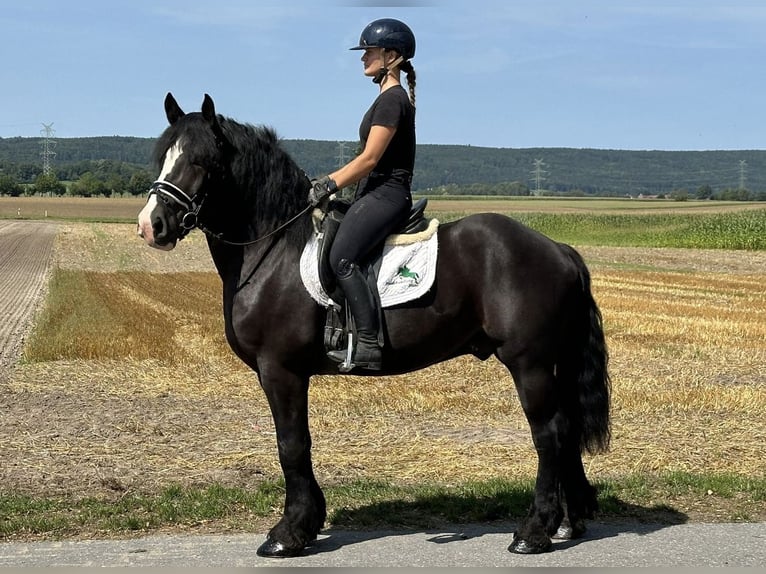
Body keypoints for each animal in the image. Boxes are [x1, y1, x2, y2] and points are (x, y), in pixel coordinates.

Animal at [136, 93, 612, 560]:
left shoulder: (280, 369)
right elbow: (298, 444)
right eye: (164, 156)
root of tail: (559, 250)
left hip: (529, 363)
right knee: (566, 429)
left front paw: (289, 533)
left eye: (203, 161)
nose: (151, 226)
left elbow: (292, 444)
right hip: (551, 361)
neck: (274, 250)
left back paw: (533, 532)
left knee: (549, 435)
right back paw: (568, 522)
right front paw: (308, 523)